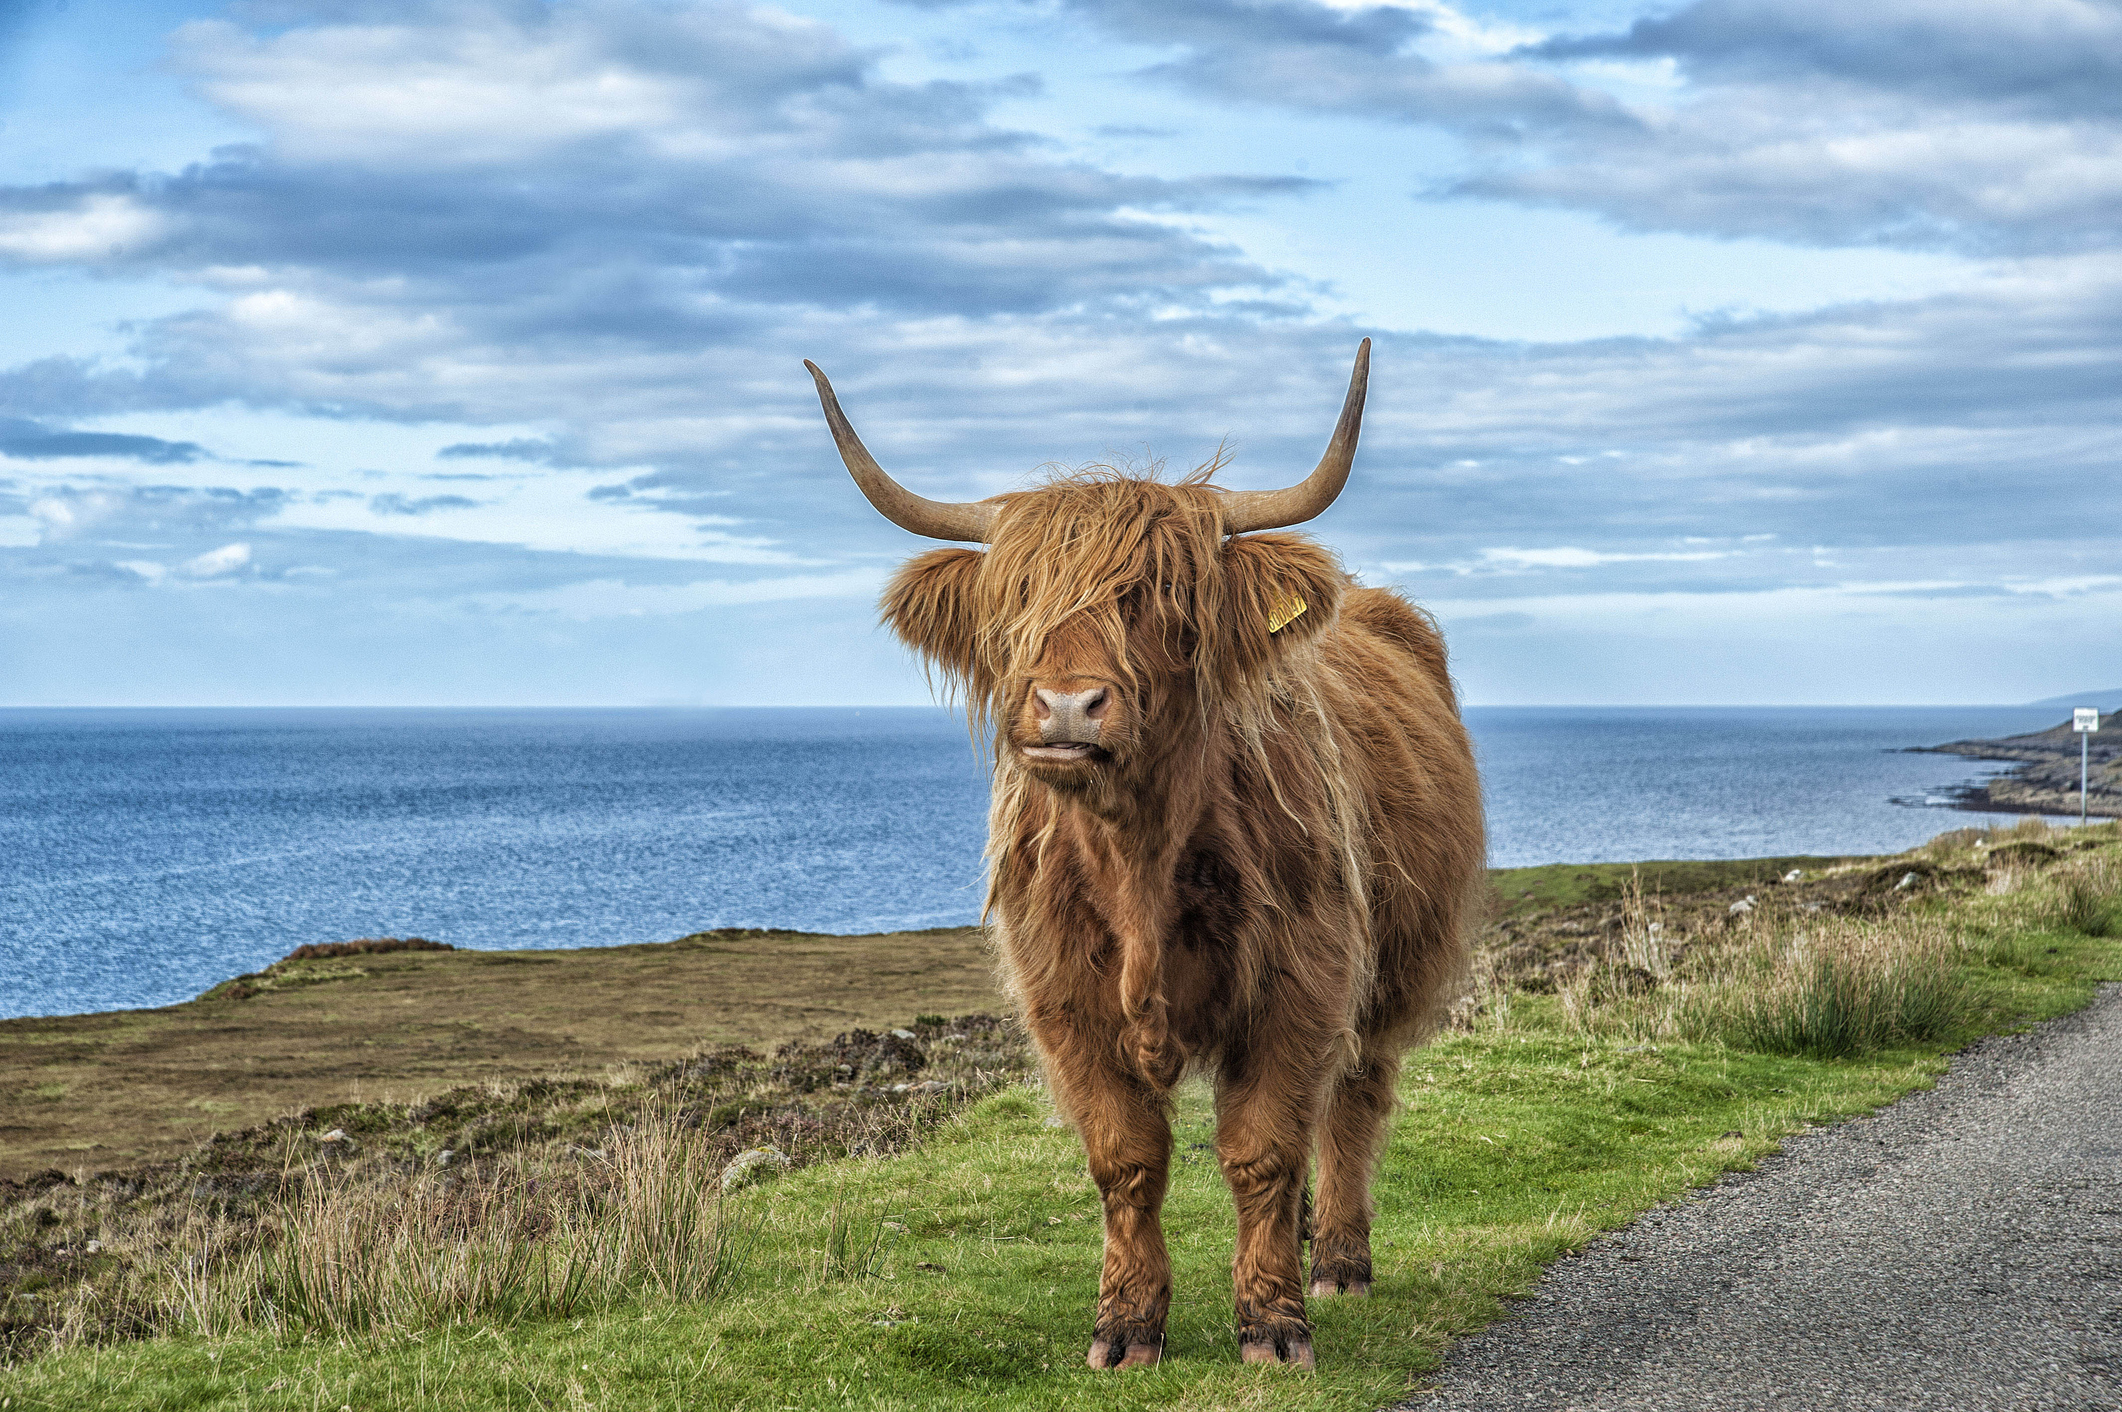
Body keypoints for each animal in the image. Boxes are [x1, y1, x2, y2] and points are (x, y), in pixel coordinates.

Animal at [805, 340, 1485, 1372]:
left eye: (1156, 600)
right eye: (1017, 603)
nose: (1066, 707)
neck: (1138, 859)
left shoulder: (1303, 980)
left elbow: (1262, 1147)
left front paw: (1274, 1324)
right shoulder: (1063, 998)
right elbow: (1126, 1159)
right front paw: (1126, 1326)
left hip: (1389, 972)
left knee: (1353, 1102)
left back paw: (1338, 1261)